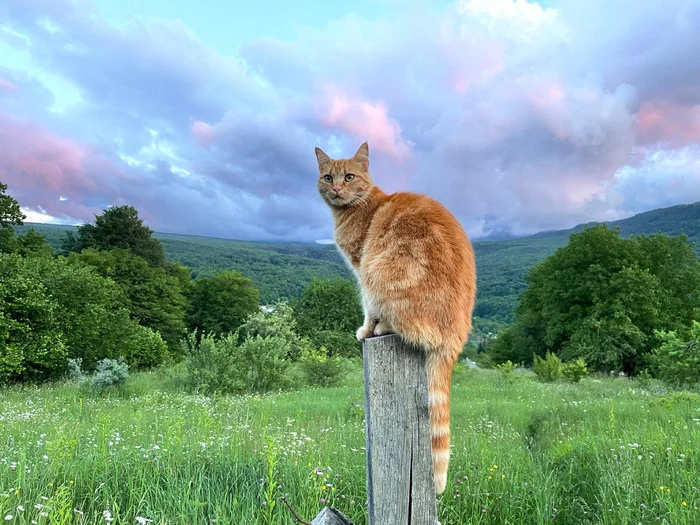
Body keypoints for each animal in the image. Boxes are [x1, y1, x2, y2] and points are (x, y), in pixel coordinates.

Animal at [316, 139, 476, 492]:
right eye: (327, 177)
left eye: (349, 177)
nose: (336, 189)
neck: (357, 208)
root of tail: (455, 338)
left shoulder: (362, 269)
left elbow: (367, 308)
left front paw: (365, 329)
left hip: (382, 271)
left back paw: (380, 329)